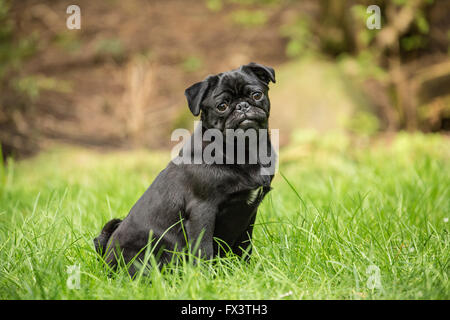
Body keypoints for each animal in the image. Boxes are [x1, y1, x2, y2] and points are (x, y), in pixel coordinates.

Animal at [94, 62, 276, 276]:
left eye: (256, 95)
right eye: (222, 106)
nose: (242, 105)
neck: (244, 149)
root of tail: (106, 257)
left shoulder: (248, 213)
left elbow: (244, 246)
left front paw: (245, 270)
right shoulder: (202, 210)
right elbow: (204, 249)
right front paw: (206, 277)